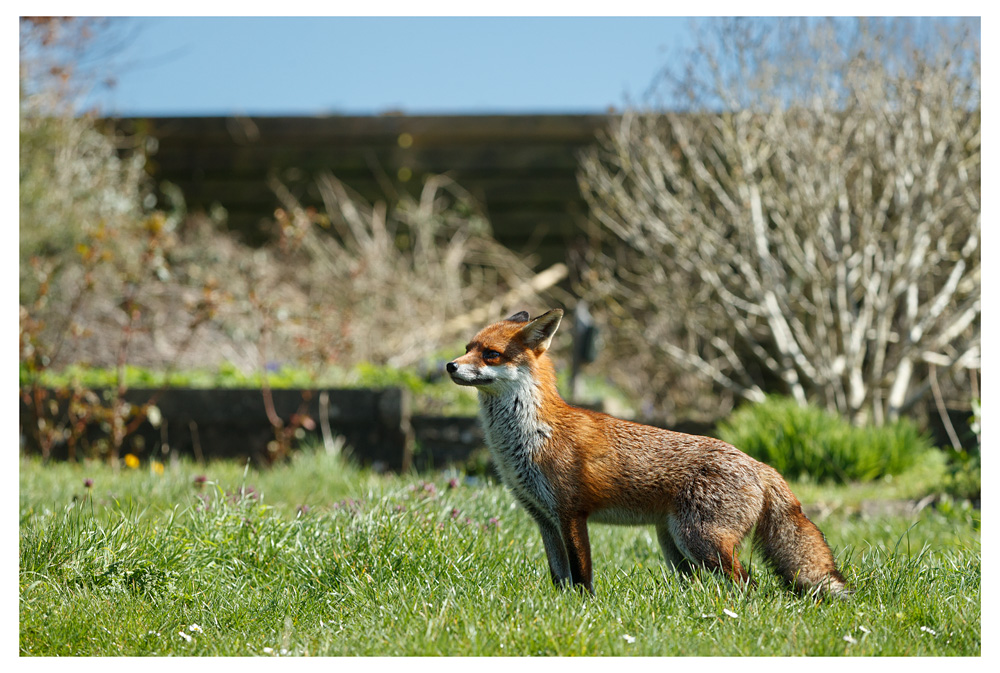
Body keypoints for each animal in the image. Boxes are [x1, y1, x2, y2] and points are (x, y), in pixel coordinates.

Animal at [446, 309, 849, 598]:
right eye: (467, 347)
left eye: (491, 355)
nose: (449, 365)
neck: (528, 439)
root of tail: (759, 463)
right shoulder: (543, 518)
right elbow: (559, 576)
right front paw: (560, 607)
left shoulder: (572, 513)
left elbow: (581, 575)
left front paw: (584, 609)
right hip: (675, 546)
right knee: (707, 584)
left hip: (699, 540)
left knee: (749, 585)